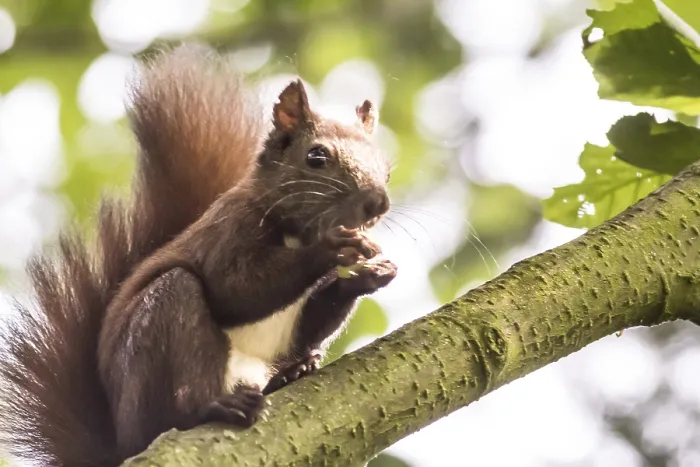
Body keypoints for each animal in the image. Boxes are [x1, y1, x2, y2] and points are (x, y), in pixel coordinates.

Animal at [0, 45, 397, 467]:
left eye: (387, 170)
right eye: (316, 157)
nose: (377, 203)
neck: (294, 231)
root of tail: (122, 445)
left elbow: (311, 320)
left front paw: (370, 275)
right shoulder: (228, 231)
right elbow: (236, 290)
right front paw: (331, 248)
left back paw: (291, 373)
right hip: (161, 337)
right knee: (178, 385)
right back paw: (214, 407)